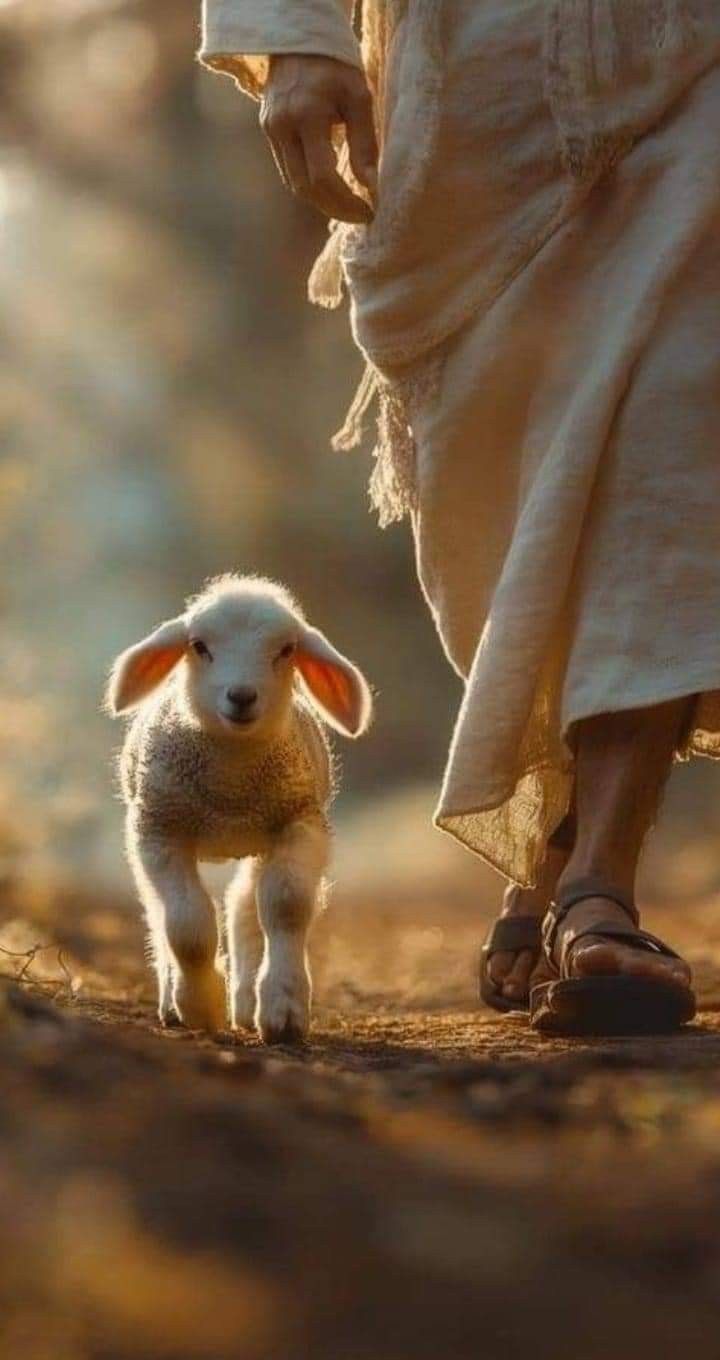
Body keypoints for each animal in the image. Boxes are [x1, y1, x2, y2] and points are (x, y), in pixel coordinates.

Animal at [105, 574, 373, 1044]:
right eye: (198, 645)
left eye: (286, 650)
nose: (242, 696)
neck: (231, 787)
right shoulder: (159, 829)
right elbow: (187, 925)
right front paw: (201, 1006)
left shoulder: (299, 823)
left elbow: (286, 905)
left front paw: (284, 1010)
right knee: (160, 913)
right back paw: (172, 1002)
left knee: (245, 902)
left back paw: (247, 1004)